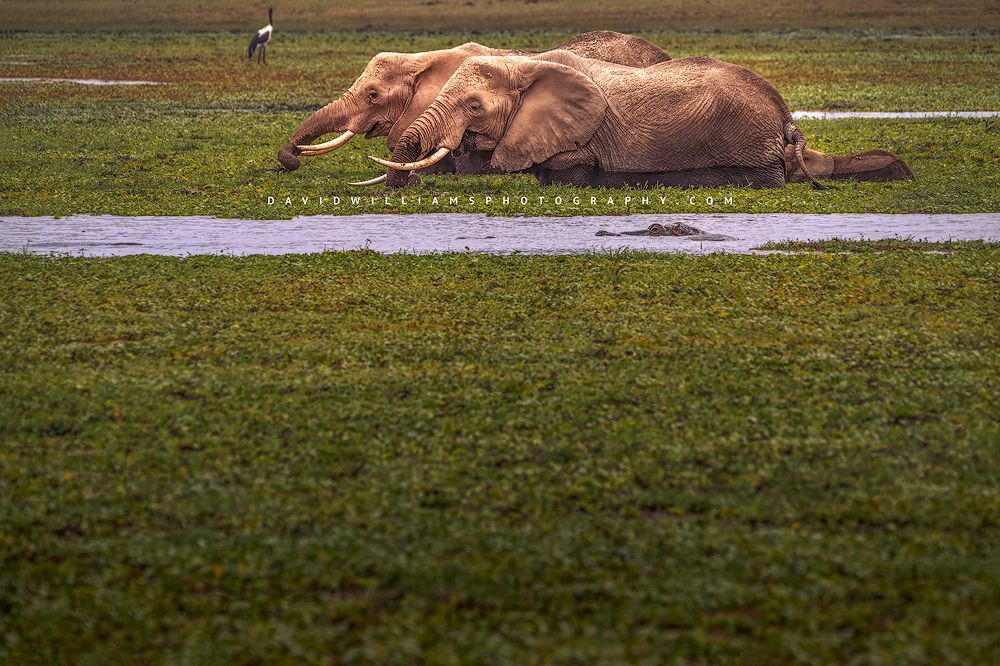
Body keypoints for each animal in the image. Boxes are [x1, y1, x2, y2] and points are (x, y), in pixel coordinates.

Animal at [373, 50, 913, 189]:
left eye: (475, 107)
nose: (409, 187)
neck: (525, 62)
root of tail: (782, 112)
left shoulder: (579, 138)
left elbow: (564, 172)